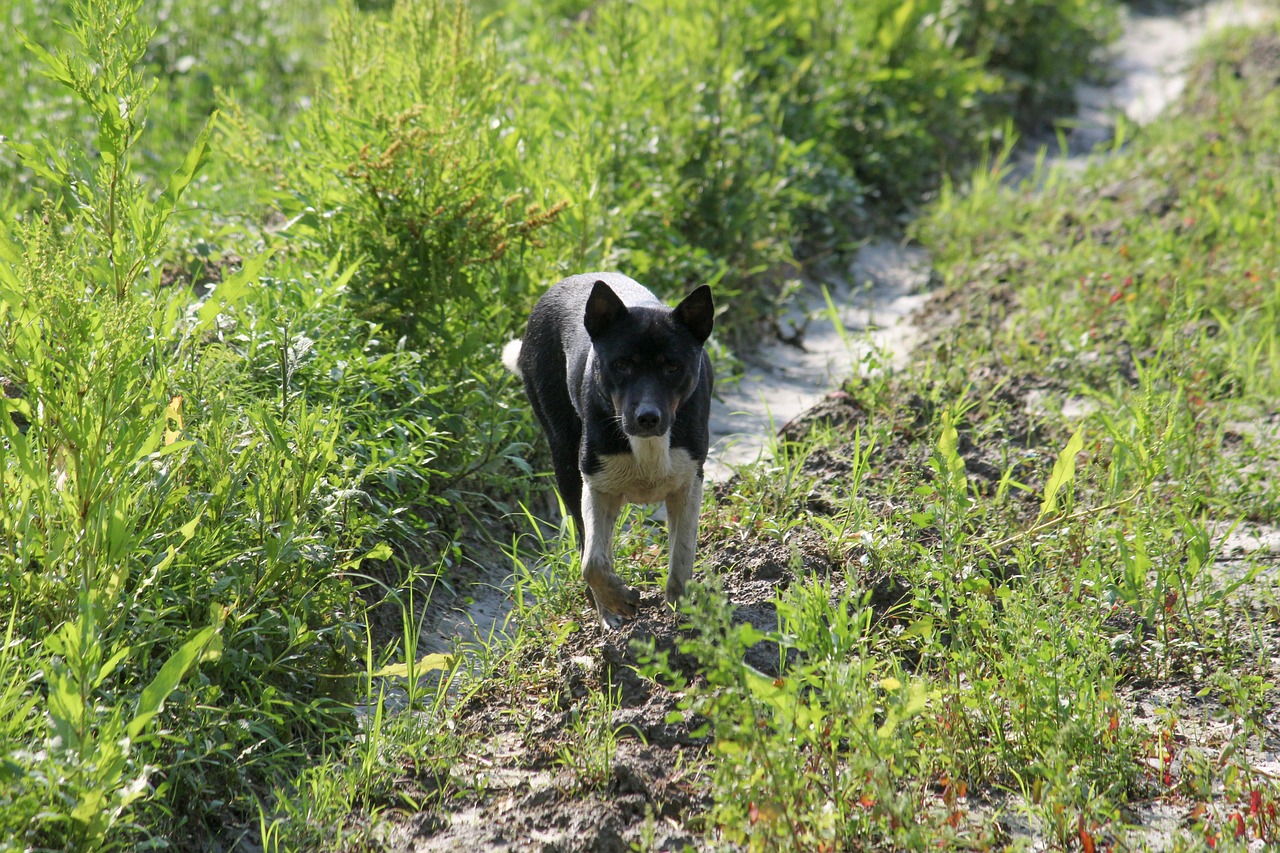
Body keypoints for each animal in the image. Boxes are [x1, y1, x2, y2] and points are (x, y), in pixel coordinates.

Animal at [499, 272, 716, 625]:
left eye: (672, 366)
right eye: (623, 364)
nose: (647, 417)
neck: (648, 445)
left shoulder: (689, 482)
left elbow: (682, 555)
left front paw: (683, 610)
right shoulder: (597, 484)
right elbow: (593, 562)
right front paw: (616, 601)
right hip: (564, 456)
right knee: (583, 538)